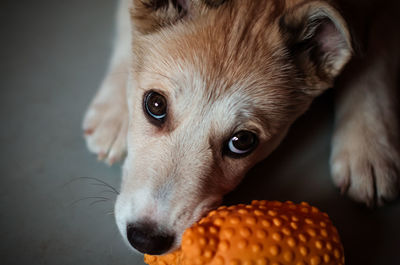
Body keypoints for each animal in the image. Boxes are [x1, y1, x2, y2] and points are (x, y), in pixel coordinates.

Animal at [83, 0, 398, 256]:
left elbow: (372, 59)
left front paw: (368, 149)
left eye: (242, 141)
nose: (146, 240)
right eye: (155, 104)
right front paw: (114, 114)